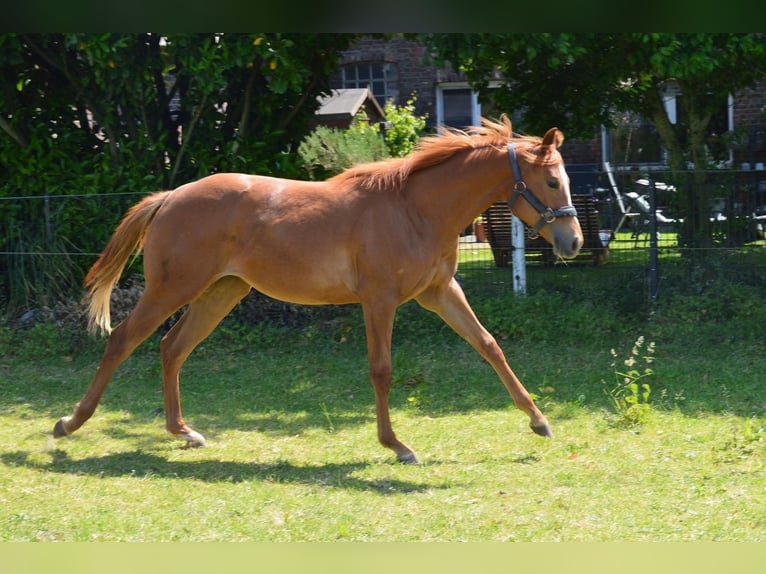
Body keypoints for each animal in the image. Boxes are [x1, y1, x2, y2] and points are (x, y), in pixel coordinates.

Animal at [52, 117, 584, 464]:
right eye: (551, 181)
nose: (573, 241)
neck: (414, 209)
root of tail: (169, 198)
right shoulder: (380, 301)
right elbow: (381, 370)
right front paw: (398, 446)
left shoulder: (440, 292)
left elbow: (490, 346)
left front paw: (539, 421)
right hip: (173, 288)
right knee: (124, 340)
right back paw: (69, 424)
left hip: (220, 293)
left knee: (171, 347)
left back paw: (184, 432)